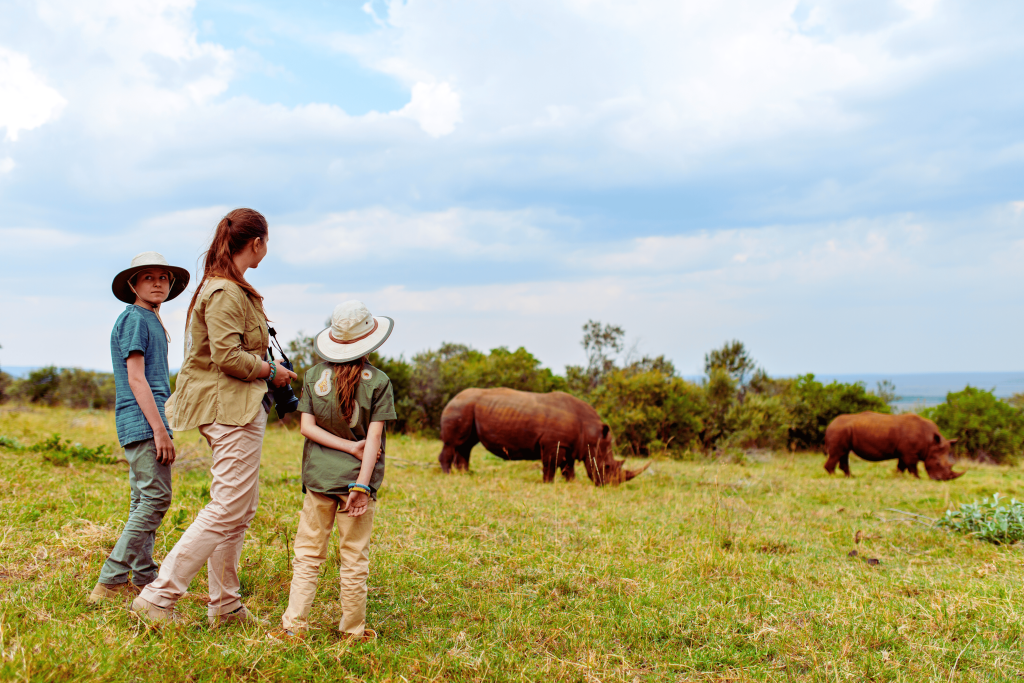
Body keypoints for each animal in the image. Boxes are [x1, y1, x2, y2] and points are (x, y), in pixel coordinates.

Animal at [438, 388, 649, 485]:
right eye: (606, 467)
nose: (610, 485)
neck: (591, 433)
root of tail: (454, 397)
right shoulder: (554, 443)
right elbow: (551, 465)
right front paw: (548, 483)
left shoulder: (569, 445)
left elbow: (568, 467)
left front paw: (571, 483)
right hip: (460, 407)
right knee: (453, 443)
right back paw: (448, 475)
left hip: (467, 407)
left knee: (466, 445)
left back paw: (466, 474)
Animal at [823, 412, 963, 480]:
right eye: (938, 464)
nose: (943, 480)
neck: (930, 443)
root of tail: (830, 424)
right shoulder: (910, 453)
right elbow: (912, 466)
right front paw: (918, 478)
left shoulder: (905, 452)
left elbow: (901, 466)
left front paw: (898, 477)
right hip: (839, 430)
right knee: (838, 453)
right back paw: (834, 476)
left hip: (843, 430)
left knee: (844, 453)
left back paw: (850, 477)